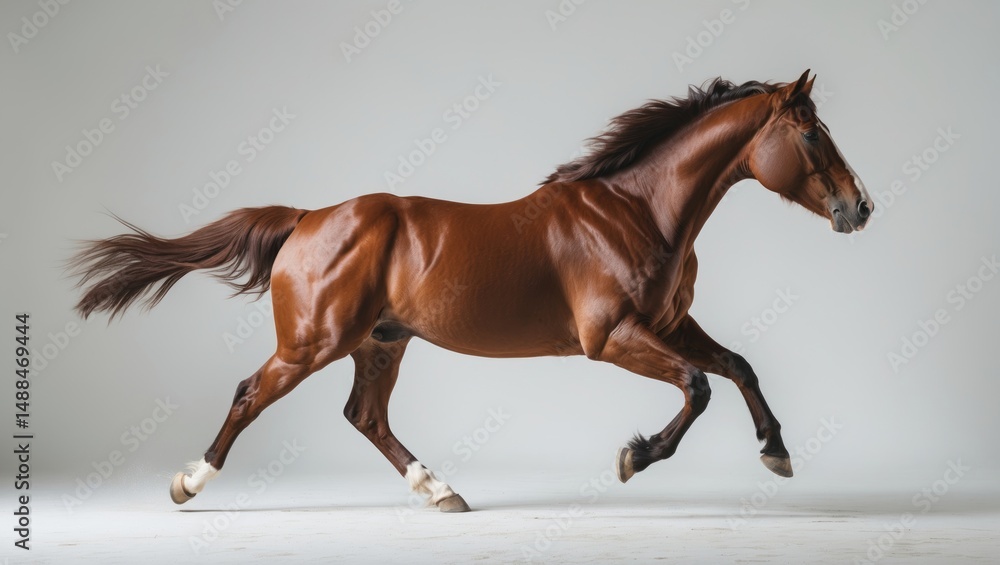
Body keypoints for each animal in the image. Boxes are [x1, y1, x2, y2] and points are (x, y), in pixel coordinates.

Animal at [69, 70, 871, 512]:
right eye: (811, 135)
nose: (860, 208)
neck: (639, 209)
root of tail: (306, 217)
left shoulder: (671, 323)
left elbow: (738, 366)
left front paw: (776, 452)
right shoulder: (612, 337)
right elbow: (700, 387)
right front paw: (634, 457)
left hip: (380, 342)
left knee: (364, 415)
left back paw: (441, 491)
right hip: (313, 342)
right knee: (249, 393)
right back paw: (189, 483)